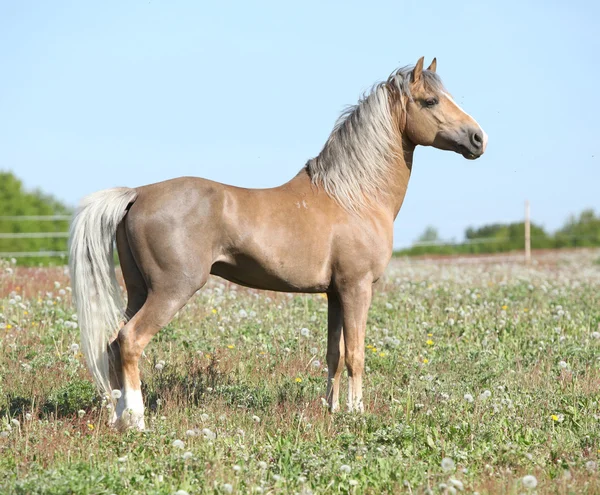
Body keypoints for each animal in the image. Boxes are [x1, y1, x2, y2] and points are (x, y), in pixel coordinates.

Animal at [70, 57, 488, 430]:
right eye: (430, 101)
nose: (478, 138)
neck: (353, 196)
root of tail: (138, 193)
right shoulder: (357, 288)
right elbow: (356, 354)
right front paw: (356, 415)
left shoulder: (334, 293)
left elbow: (334, 355)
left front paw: (333, 411)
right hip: (171, 290)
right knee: (130, 341)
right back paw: (136, 422)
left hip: (139, 289)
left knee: (112, 344)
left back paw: (117, 418)